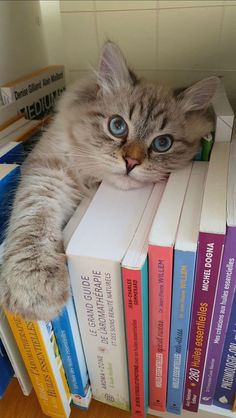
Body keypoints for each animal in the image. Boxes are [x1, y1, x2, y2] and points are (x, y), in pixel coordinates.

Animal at [0, 40, 219, 320]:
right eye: (117, 126)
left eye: (162, 143)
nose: (131, 162)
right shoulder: (50, 172)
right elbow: (34, 222)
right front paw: (33, 288)